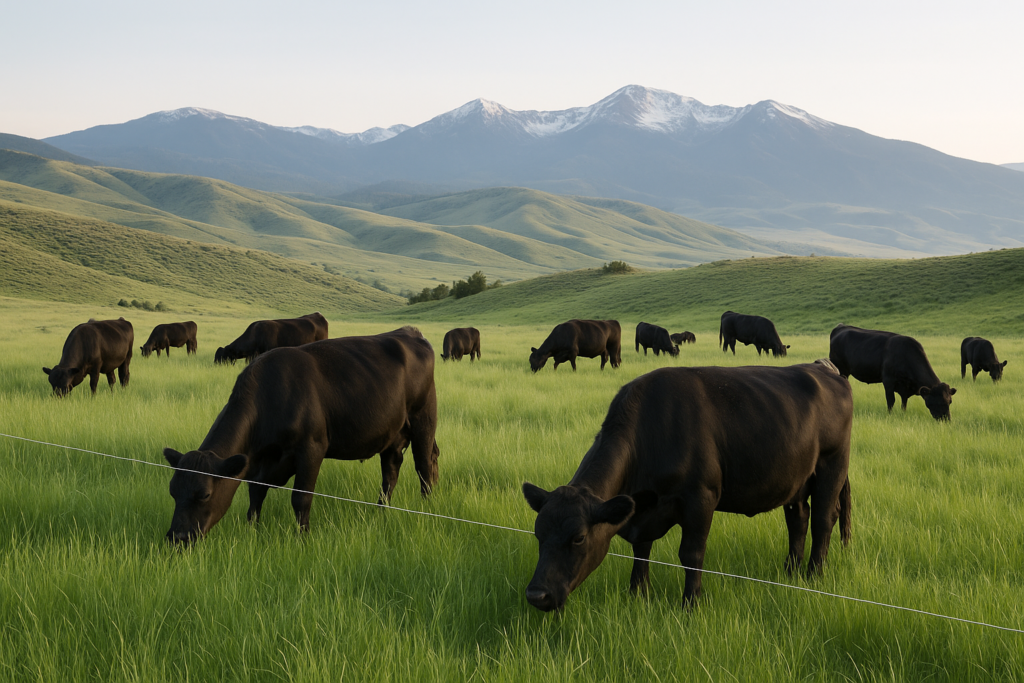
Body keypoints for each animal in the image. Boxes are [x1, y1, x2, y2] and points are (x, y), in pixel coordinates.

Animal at [163, 327, 440, 544]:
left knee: (424, 467)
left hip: (423, 419)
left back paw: (427, 508)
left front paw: (303, 539)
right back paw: (381, 512)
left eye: (205, 495)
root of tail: (410, 333)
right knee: (390, 473)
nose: (178, 538)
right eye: (172, 491)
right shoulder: (258, 465)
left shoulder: (312, 448)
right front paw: (252, 531)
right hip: (392, 435)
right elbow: (255, 496)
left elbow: (301, 498)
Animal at [522, 359, 853, 612]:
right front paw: (637, 594)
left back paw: (813, 575)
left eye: (578, 538)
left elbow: (691, 555)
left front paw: (691, 604)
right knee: (798, 518)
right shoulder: (641, 510)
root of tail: (823, 367)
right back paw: (790, 571)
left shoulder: (701, 497)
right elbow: (641, 550)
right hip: (795, 477)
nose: (537, 594)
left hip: (832, 464)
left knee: (823, 519)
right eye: (538, 534)